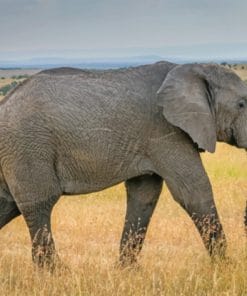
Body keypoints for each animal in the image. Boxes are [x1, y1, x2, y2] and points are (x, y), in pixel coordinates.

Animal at [0, 61, 247, 270]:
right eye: (242, 104)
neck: (191, 68)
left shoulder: (151, 141)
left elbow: (144, 196)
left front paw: (127, 271)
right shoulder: (166, 133)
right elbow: (194, 191)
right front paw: (226, 267)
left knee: (7, 204)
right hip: (28, 147)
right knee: (39, 203)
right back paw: (55, 274)